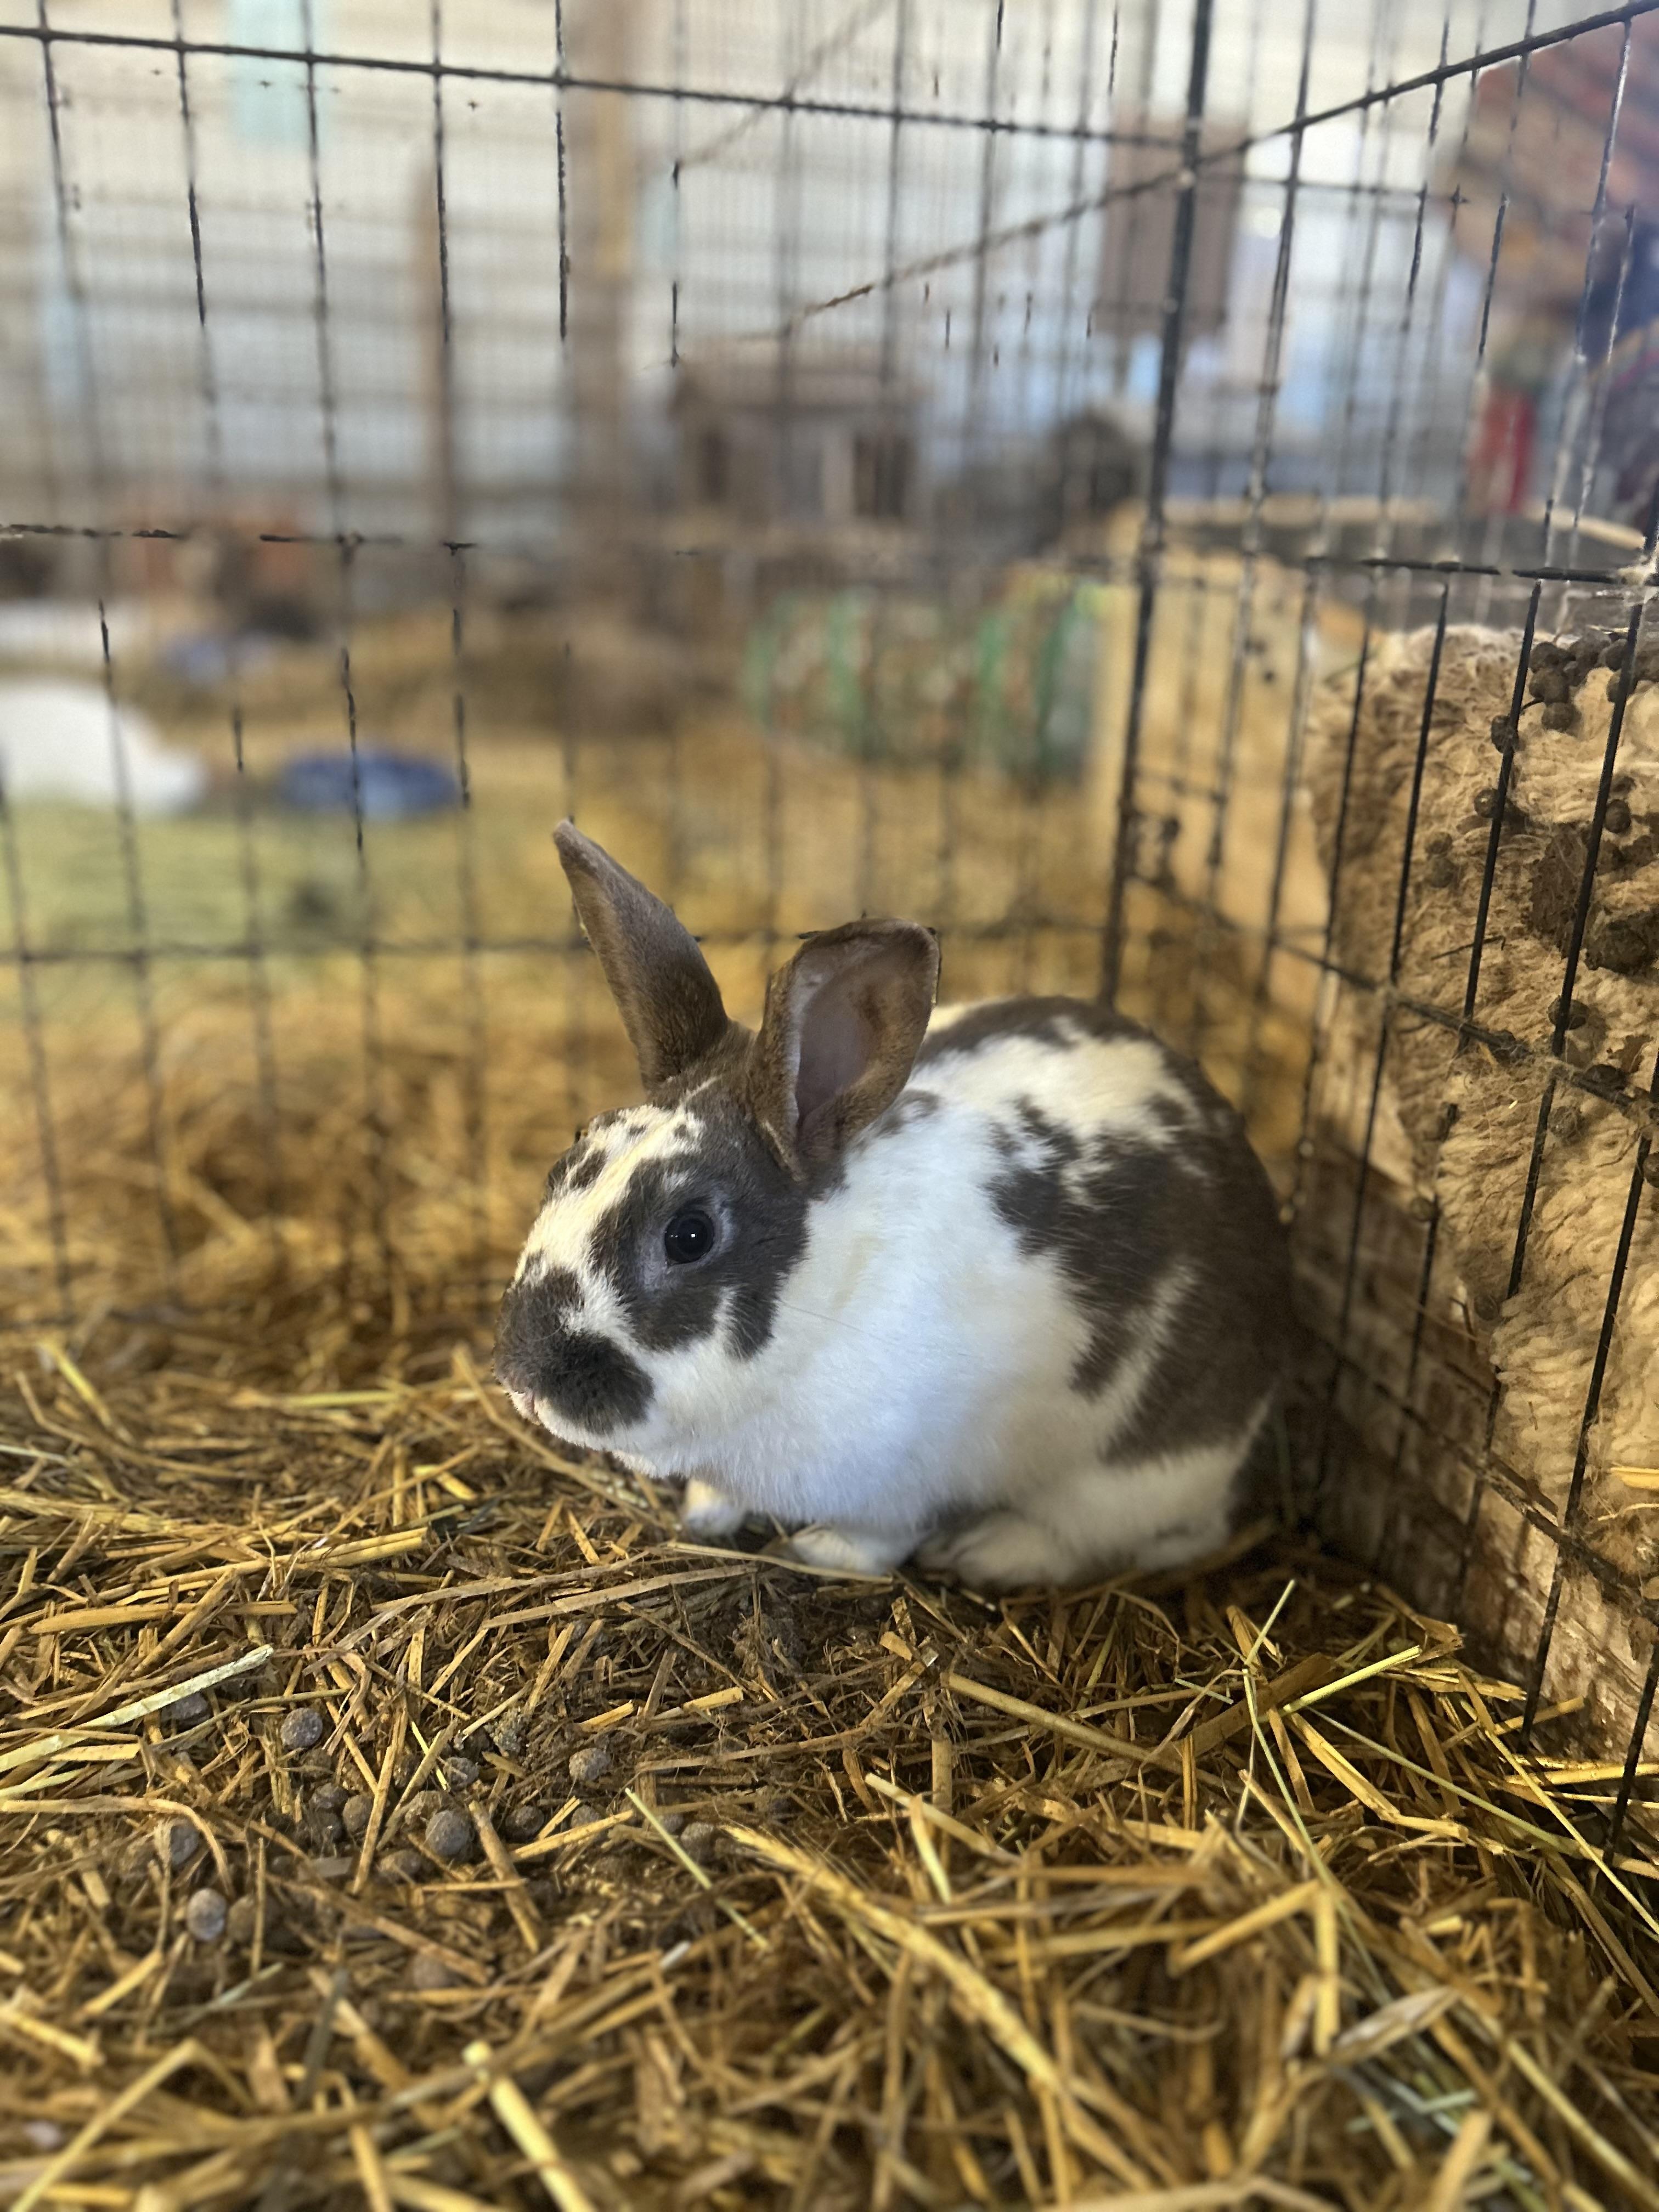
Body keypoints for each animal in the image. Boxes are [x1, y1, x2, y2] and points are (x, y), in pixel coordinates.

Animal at [494, 823, 1296, 1591]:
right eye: (572, 1153)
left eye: (690, 1234)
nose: (523, 1381)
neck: (826, 1302)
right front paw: (705, 1515)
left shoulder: (902, 1481)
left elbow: (879, 1539)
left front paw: (819, 1551)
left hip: (1141, 1476)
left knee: (1126, 1538)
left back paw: (989, 1552)